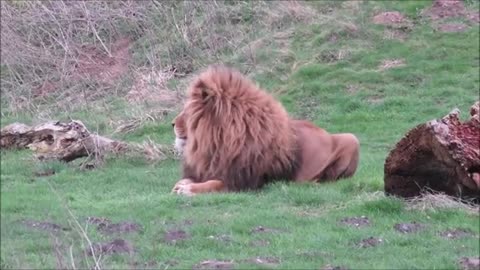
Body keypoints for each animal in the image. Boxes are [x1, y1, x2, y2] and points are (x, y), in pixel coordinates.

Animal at [171, 65, 358, 196]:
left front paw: (188, 190)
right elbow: (187, 178)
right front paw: (181, 185)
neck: (217, 144)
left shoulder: (247, 181)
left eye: (186, 111)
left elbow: (214, 184)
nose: (172, 124)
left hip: (352, 138)